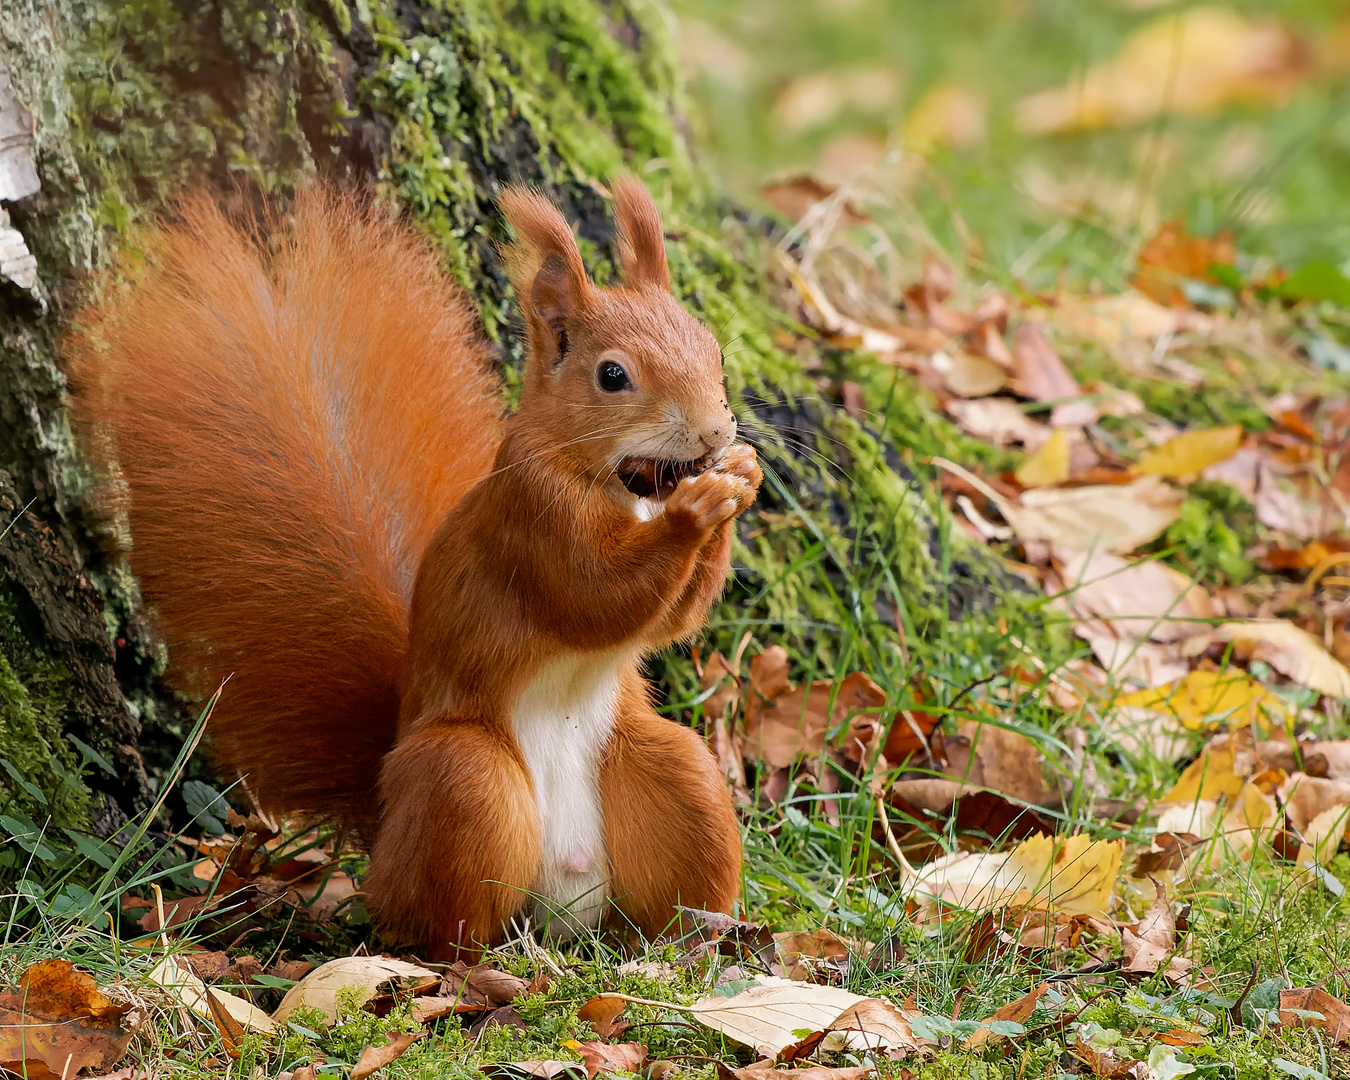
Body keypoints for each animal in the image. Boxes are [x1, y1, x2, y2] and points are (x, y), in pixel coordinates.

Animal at [71, 179, 761, 961]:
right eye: (612, 375)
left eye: (713, 349)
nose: (714, 431)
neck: (625, 487)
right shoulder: (528, 519)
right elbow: (595, 597)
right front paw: (697, 510)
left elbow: (674, 620)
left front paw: (742, 476)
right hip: (463, 781)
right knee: (438, 923)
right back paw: (475, 962)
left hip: (672, 776)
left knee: (675, 831)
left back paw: (690, 944)